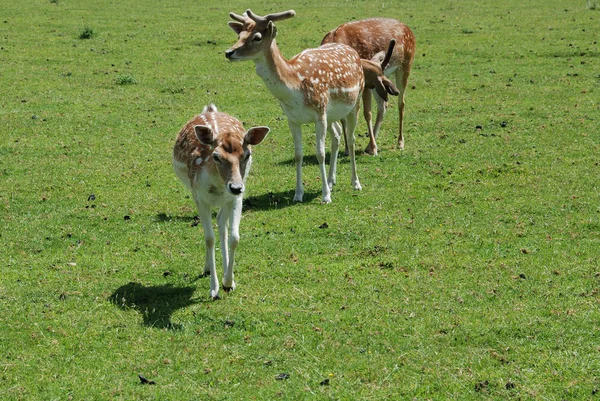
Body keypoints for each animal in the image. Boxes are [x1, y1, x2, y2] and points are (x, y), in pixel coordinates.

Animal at [172, 104, 268, 298]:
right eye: (216, 156)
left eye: (247, 155)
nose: (236, 186)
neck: (217, 185)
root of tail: (210, 109)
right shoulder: (199, 196)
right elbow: (209, 238)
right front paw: (214, 289)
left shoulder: (236, 199)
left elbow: (234, 237)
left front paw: (228, 282)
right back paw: (208, 268)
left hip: (227, 200)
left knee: (221, 223)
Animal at [225, 9, 398, 203]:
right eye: (239, 35)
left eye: (257, 37)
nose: (229, 52)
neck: (295, 87)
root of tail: (352, 51)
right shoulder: (292, 119)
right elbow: (298, 154)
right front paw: (298, 194)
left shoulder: (319, 113)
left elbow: (320, 153)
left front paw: (326, 196)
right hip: (331, 114)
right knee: (337, 134)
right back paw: (331, 181)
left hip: (355, 101)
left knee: (351, 139)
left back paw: (355, 183)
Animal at [322, 16, 414, 153]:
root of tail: (407, 28)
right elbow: (343, 116)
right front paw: (347, 149)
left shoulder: (364, 86)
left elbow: (367, 113)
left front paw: (374, 148)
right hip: (381, 83)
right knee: (383, 105)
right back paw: (370, 145)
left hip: (405, 66)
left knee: (401, 103)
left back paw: (399, 143)